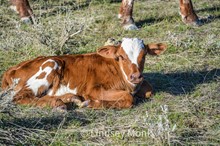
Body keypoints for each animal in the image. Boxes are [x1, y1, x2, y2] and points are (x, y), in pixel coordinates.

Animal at [1, 38, 167, 110]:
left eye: (144, 55)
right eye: (121, 56)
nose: (136, 76)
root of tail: (12, 68)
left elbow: (149, 90)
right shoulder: (93, 89)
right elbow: (128, 98)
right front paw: (93, 103)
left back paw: (68, 99)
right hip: (50, 64)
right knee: (21, 97)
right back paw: (60, 104)